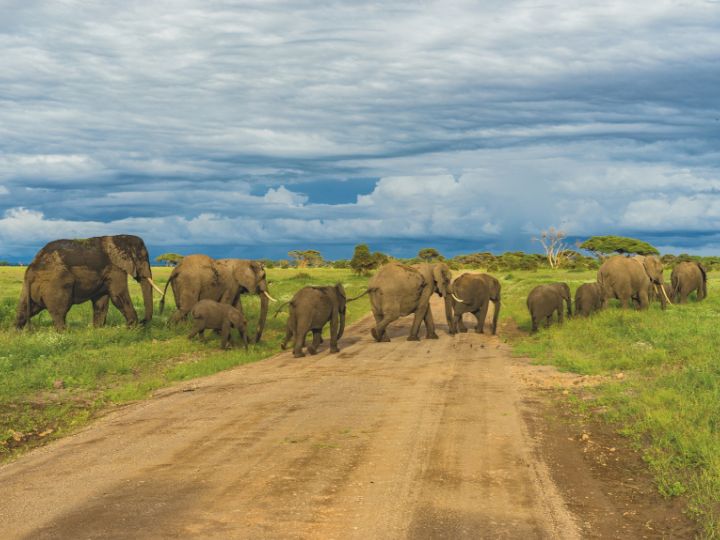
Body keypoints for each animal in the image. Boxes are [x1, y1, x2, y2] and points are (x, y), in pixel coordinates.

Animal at [15, 235, 163, 331]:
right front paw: (133, 328)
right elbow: (118, 295)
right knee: (60, 311)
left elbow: (101, 301)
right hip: (55, 284)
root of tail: (31, 268)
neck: (119, 237)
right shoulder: (114, 268)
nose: (144, 322)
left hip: (30, 288)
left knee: (25, 309)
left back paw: (16, 333)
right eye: (142, 257)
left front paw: (97, 330)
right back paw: (65, 333)